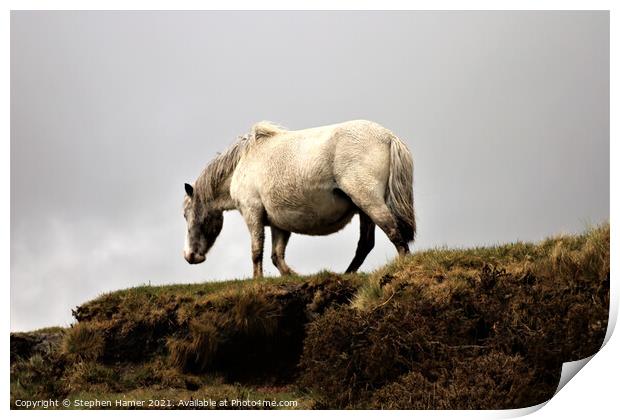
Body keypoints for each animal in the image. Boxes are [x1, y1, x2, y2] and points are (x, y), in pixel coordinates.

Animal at [184, 120, 416, 278]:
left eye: (186, 215)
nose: (190, 256)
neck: (243, 162)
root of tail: (388, 136)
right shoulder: (278, 224)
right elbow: (276, 257)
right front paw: (292, 276)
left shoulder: (253, 213)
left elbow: (257, 251)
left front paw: (257, 281)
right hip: (363, 209)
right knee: (365, 244)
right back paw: (347, 273)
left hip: (368, 200)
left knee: (392, 231)